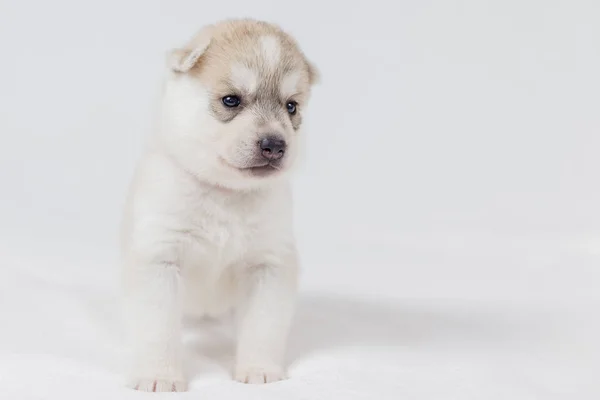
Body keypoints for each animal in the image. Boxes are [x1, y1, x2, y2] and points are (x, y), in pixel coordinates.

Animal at [119, 20, 322, 392]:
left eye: (291, 107)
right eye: (231, 100)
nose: (275, 145)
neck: (225, 192)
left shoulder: (269, 264)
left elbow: (263, 326)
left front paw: (259, 370)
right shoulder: (159, 258)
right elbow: (158, 330)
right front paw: (159, 376)